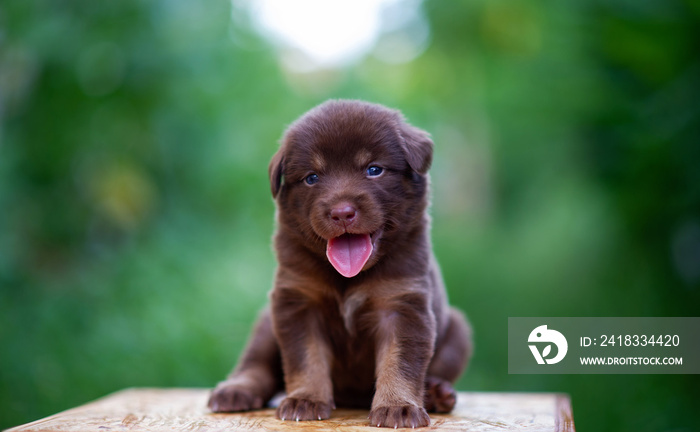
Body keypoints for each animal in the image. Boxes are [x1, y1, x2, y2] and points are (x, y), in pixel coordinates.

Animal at [208, 99, 470, 426]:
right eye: (312, 177)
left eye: (374, 170)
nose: (342, 212)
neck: (349, 276)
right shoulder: (298, 301)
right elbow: (306, 357)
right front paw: (305, 400)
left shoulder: (403, 303)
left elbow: (400, 361)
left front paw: (398, 406)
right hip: (267, 323)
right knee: (255, 364)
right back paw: (235, 390)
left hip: (458, 330)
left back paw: (436, 394)